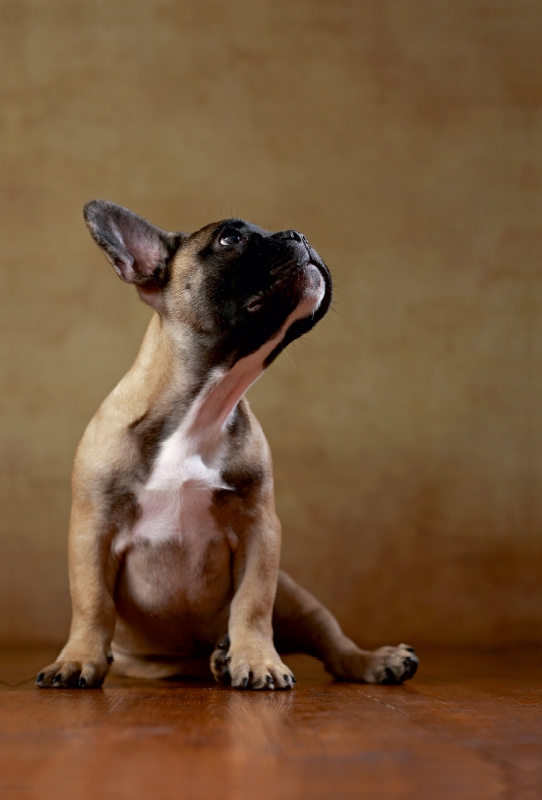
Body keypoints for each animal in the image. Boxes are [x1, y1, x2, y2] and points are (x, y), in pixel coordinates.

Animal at [37, 203, 420, 692]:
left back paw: (373, 660)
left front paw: (257, 660)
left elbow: (252, 603)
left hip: (296, 597)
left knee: (332, 645)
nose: (299, 234)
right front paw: (77, 659)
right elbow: (91, 603)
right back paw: (218, 661)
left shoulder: (261, 530)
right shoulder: (92, 528)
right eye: (230, 239)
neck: (204, 406)